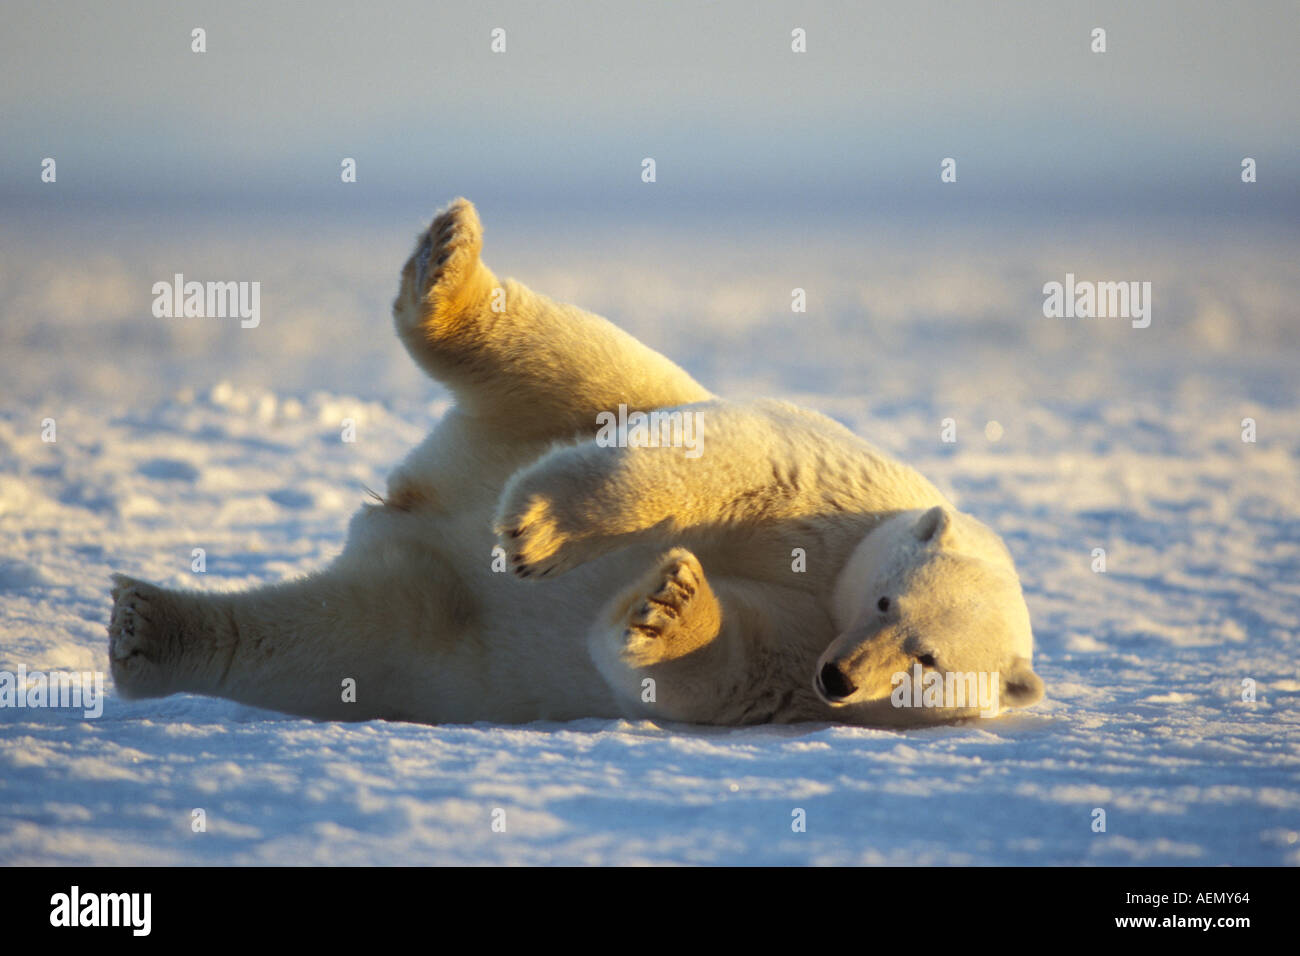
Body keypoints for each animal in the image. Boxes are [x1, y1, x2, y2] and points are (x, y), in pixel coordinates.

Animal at [111, 200, 1045, 723]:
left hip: (439, 639)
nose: (845, 674)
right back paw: (447, 267)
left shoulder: (799, 683)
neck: (834, 601)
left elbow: (716, 669)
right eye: (887, 600)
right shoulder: (839, 497)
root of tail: (420, 508)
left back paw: (148, 630)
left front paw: (670, 605)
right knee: (584, 362)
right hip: (577, 409)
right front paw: (546, 534)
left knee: (331, 639)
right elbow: (737, 463)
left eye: (928, 660)